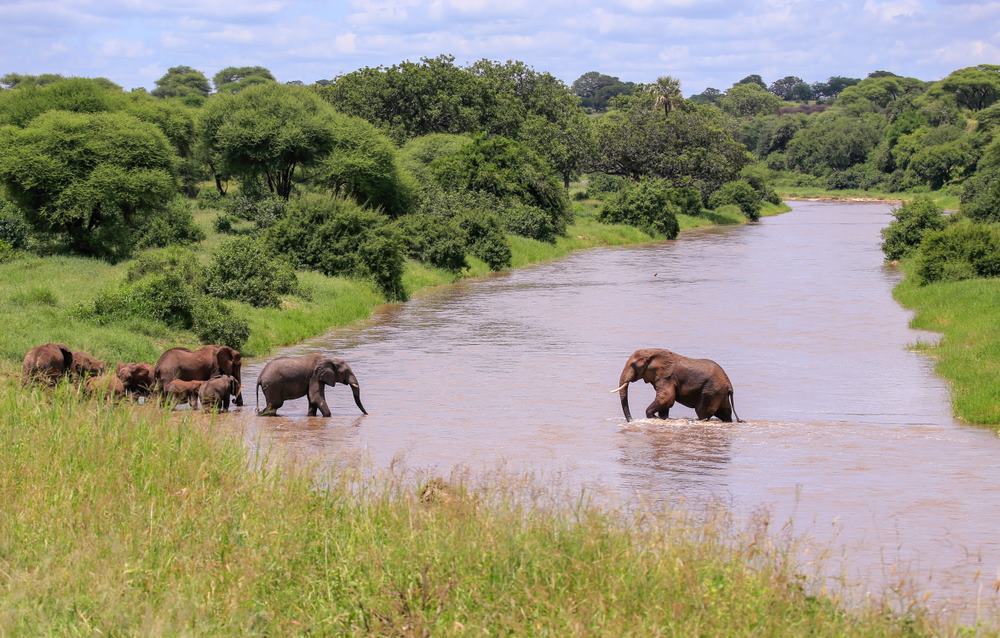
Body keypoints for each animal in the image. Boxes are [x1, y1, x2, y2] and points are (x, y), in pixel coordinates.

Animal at [608, 350, 744, 424]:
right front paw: (662, 418)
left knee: (702, 412)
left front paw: (654, 417)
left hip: (711, 392)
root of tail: (729, 385)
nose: (632, 420)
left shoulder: (666, 377)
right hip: (720, 394)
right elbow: (665, 403)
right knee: (725, 414)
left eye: (633, 365)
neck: (652, 353)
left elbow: (666, 398)